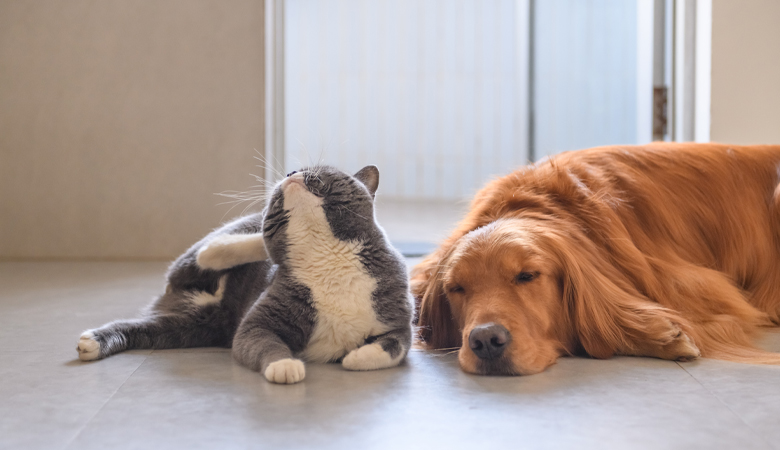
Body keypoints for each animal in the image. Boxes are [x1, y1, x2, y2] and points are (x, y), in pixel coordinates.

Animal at [77, 164, 414, 384]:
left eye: (322, 169)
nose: (291, 173)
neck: (326, 256)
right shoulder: (257, 323)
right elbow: (263, 342)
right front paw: (285, 366)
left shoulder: (399, 319)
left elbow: (395, 347)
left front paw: (356, 356)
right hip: (194, 270)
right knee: (207, 254)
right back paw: (221, 249)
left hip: (193, 326)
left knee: (144, 327)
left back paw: (93, 342)